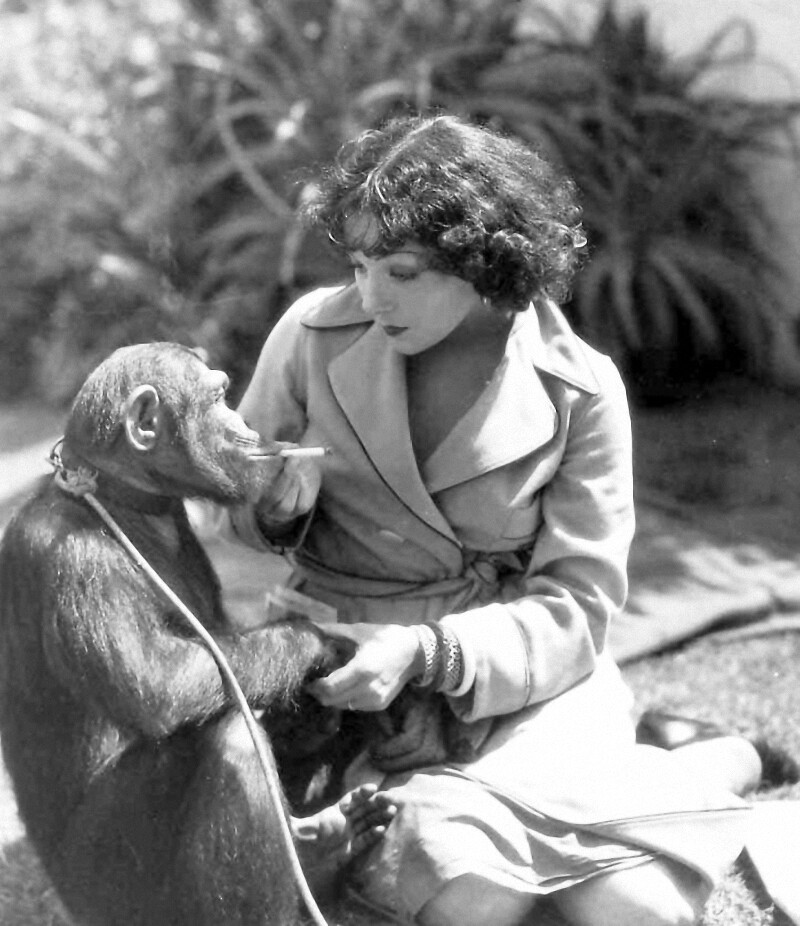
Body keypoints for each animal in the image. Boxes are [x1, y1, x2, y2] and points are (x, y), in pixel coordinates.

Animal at [0, 342, 390, 926]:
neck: (123, 500)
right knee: (233, 742)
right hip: (112, 889)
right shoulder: (78, 564)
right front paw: (321, 644)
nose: (247, 421)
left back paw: (328, 850)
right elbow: (157, 682)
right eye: (219, 398)